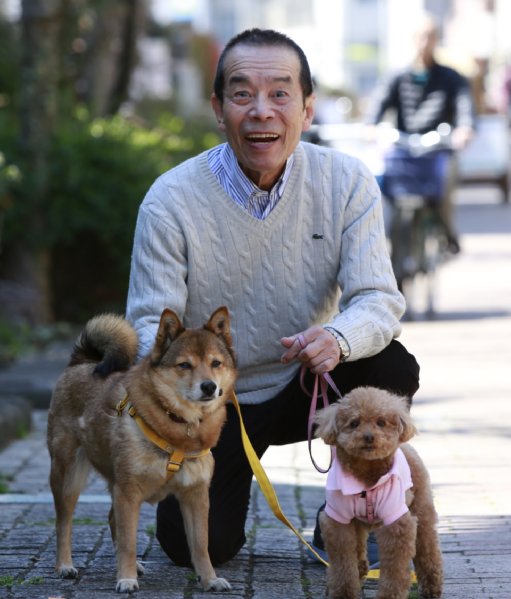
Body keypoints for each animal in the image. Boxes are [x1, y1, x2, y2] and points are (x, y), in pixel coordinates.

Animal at [47, 310, 237, 596]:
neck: (180, 429)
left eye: (216, 363)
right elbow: (129, 542)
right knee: (63, 523)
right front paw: (125, 579)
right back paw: (65, 565)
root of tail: (81, 362)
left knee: (111, 518)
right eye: (184, 365)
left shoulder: (196, 496)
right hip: (69, 477)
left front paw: (209, 579)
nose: (209, 387)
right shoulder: (128, 492)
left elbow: (201, 546)